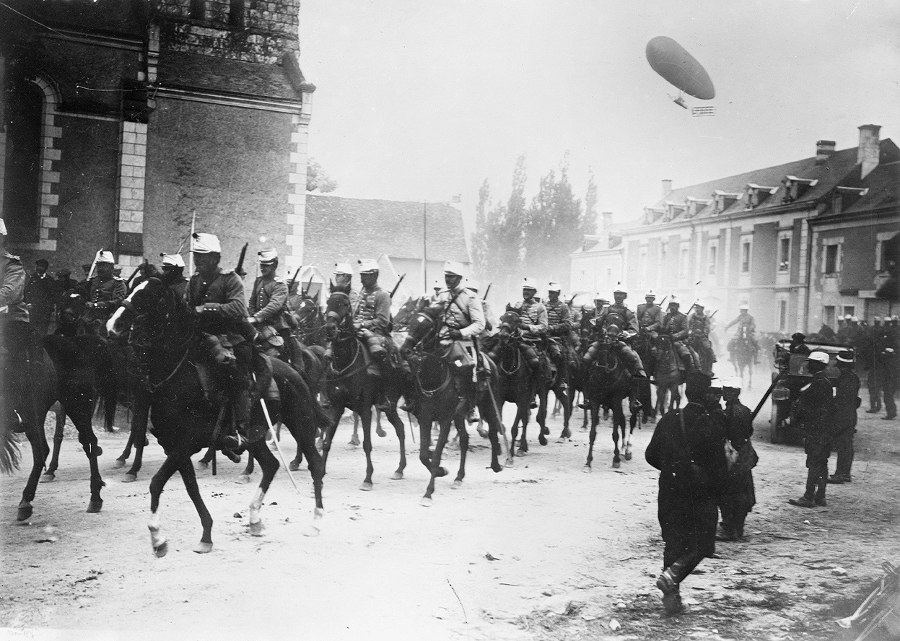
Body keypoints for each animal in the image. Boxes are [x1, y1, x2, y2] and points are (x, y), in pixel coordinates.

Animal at [108, 280, 326, 556]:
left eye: (150, 297)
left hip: (301, 423)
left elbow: (157, 483)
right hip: (256, 436)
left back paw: (315, 522)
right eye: (133, 289)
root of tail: (295, 371)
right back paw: (255, 519)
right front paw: (205, 534)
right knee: (271, 465)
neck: (179, 375)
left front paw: (157, 537)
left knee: (315, 464)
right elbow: (190, 487)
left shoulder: (185, 445)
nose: (112, 326)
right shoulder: (175, 447)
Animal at [320, 290, 408, 490]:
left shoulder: (365, 408)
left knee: (400, 429)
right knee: (400, 427)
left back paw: (400, 469)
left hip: (390, 404)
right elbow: (327, 441)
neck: (346, 360)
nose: (330, 327)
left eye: (345, 304)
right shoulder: (336, 406)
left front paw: (368, 479)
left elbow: (367, 444)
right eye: (328, 302)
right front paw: (319, 475)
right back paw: (400, 469)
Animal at [400, 302, 506, 502]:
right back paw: (459, 477)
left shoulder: (444, 419)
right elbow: (424, 455)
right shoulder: (426, 418)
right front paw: (441, 471)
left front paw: (429, 492)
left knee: (493, 431)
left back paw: (496, 464)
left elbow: (436, 453)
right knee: (464, 439)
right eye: (411, 322)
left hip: (488, 405)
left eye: (427, 326)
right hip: (459, 415)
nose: (405, 350)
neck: (435, 376)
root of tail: (489, 361)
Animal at [580, 330, 636, 470]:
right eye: (598, 351)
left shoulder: (616, 401)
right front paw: (588, 462)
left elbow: (615, 434)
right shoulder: (595, 402)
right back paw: (622, 449)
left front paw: (616, 460)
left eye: (609, 351)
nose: (601, 366)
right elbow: (592, 433)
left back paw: (627, 450)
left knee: (632, 420)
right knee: (622, 421)